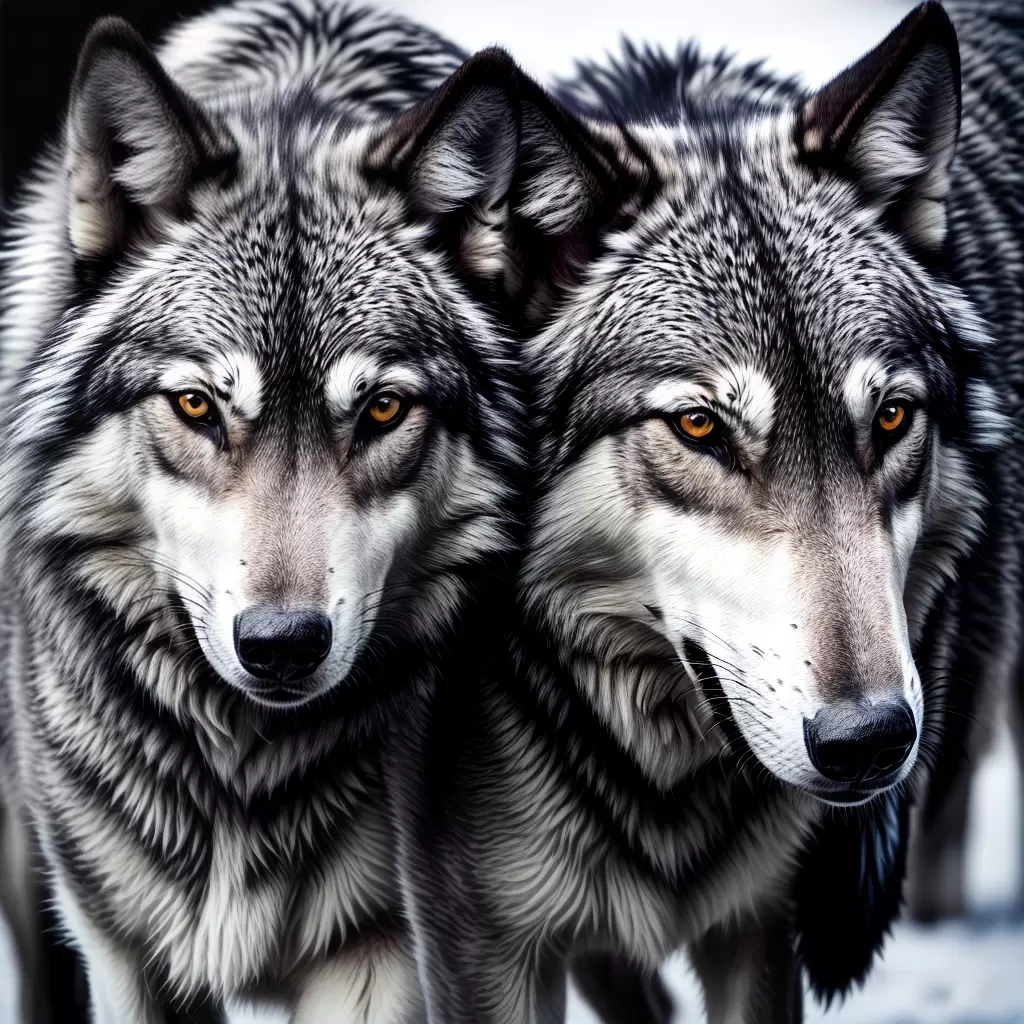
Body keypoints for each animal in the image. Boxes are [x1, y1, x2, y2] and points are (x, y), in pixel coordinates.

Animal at [0, 0, 541, 1019]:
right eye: (196, 406)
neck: (238, 772)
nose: (282, 646)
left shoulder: (380, 954)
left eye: (382, 410)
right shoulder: (124, 954)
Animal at [390, 1, 1023, 1019]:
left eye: (891, 418)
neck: (663, 786)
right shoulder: (482, 948)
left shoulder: (760, 930)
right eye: (699, 427)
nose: (870, 743)